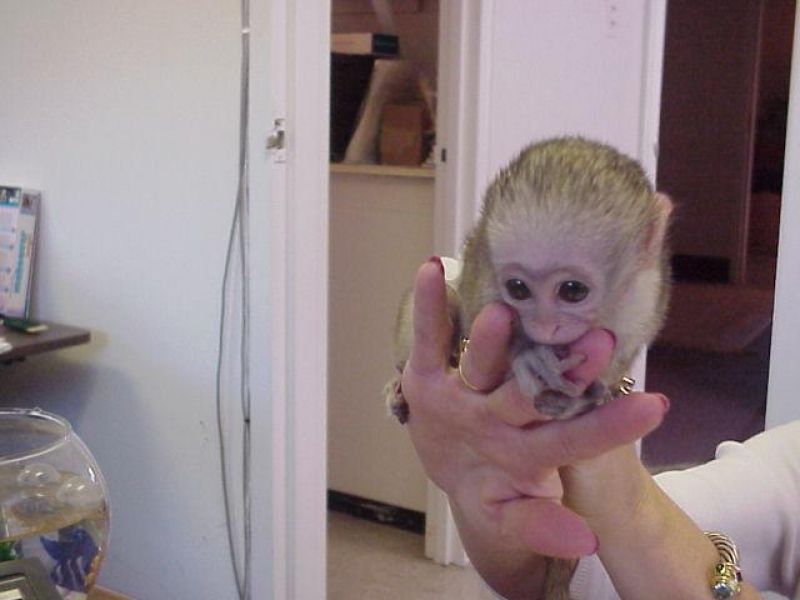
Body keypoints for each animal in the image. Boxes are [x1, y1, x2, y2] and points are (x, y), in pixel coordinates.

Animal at [386, 135, 672, 425]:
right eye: (518, 288)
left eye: (573, 291)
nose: (545, 327)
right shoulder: (483, 267)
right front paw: (528, 353)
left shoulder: (643, 298)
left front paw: (584, 399)